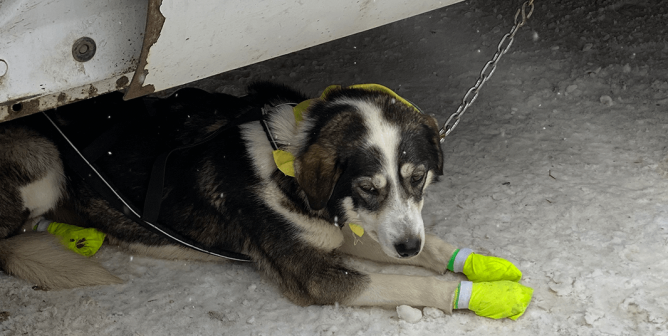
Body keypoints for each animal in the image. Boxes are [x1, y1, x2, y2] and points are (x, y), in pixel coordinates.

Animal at [0, 82, 480, 314]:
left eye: (418, 178)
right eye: (368, 187)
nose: (407, 246)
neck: (286, 162)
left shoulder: (344, 227)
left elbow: (433, 251)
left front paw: (477, 264)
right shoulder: (315, 276)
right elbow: (413, 282)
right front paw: (475, 296)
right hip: (45, 161)